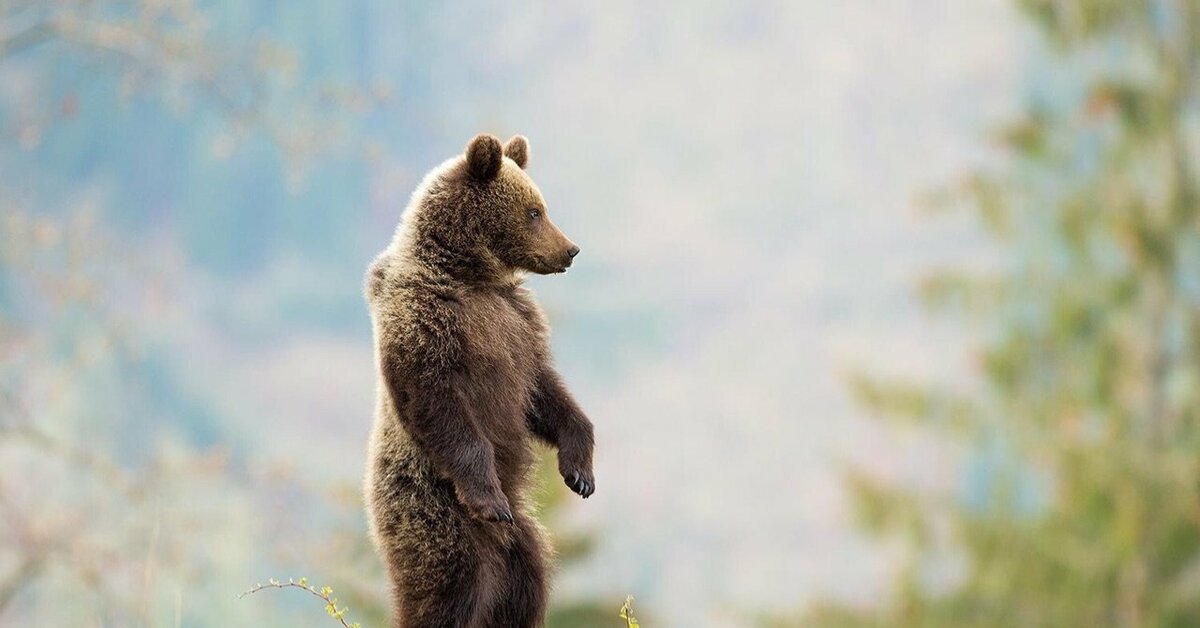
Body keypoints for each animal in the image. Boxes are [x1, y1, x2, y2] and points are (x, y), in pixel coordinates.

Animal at [360, 133, 595, 628]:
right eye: (534, 211)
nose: (571, 249)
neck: (469, 274)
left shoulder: (518, 326)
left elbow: (544, 393)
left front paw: (580, 471)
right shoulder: (427, 322)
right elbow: (439, 405)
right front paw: (489, 497)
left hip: (523, 542)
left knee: (527, 587)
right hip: (434, 513)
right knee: (450, 585)